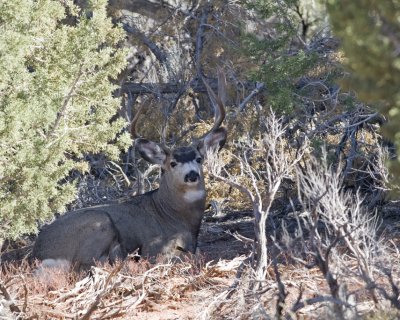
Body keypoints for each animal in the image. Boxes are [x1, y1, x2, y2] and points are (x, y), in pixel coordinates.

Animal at [31, 71, 228, 268]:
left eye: (199, 159)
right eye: (172, 163)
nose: (192, 175)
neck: (175, 216)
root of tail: (38, 253)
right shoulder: (155, 246)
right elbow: (187, 255)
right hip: (100, 223)